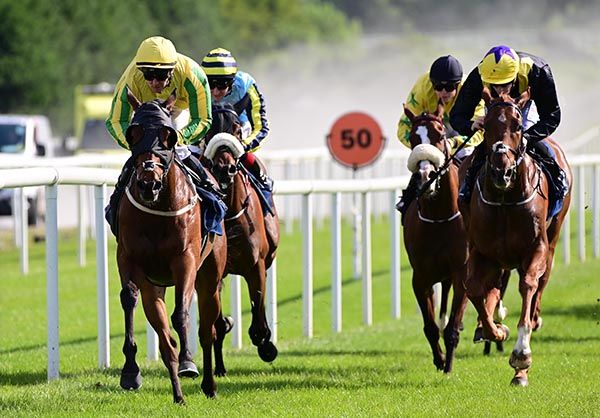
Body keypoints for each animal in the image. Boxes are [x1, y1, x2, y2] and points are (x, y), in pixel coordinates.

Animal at [116, 90, 227, 404]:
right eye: (134, 134)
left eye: (168, 136)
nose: (148, 183)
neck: (157, 212)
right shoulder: (129, 258)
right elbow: (130, 298)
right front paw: (131, 371)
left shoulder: (185, 260)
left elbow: (181, 314)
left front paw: (189, 361)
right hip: (156, 284)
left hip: (210, 276)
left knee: (207, 330)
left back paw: (209, 383)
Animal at [199, 105, 278, 376]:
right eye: (210, 129)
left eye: (235, 129)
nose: (225, 168)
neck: (231, 212)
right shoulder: (214, 271)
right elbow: (218, 323)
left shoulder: (256, 267)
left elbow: (259, 321)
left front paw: (267, 347)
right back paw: (220, 367)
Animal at [400, 103, 472, 372]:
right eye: (413, 138)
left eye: (440, 135)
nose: (425, 177)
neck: (440, 219)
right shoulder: (421, 276)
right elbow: (430, 326)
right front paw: (440, 359)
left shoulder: (463, 271)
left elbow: (451, 327)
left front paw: (449, 364)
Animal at [462, 90, 576, 386]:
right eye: (487, 125)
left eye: (517, 126)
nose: (501, 171)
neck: (505, 199)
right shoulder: (482, 251)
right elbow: (474, 289)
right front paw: (496, 330)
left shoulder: (536, 248)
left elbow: (528, 285)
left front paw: (522, 357)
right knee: (491, 287)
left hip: (553, 239)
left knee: (541, 281)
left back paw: (534, 321)